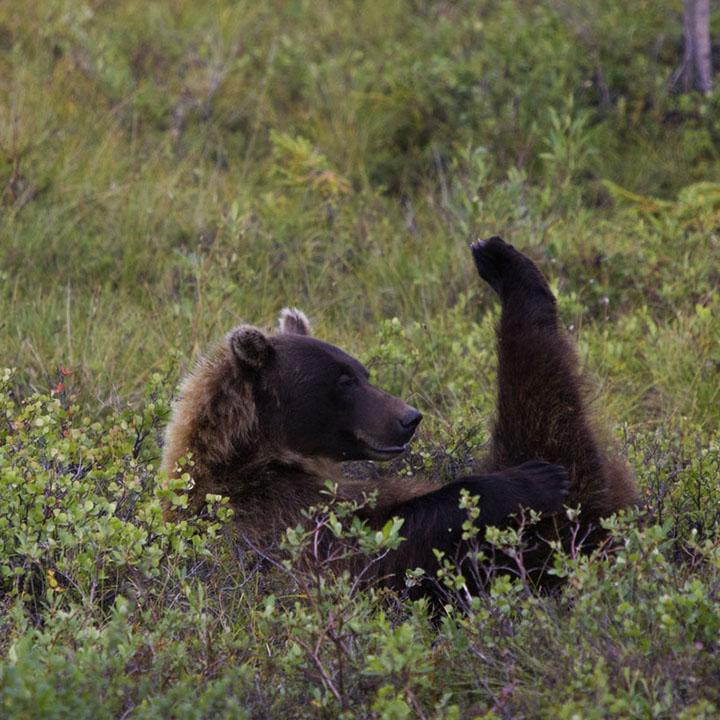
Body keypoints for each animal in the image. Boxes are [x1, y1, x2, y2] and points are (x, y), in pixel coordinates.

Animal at [162, 236, 636, 592]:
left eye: (363, 371)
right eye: (343, 381)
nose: (409, 417)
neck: (265, 458)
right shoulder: (273, 519)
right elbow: (384, 541)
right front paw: (528, 480)